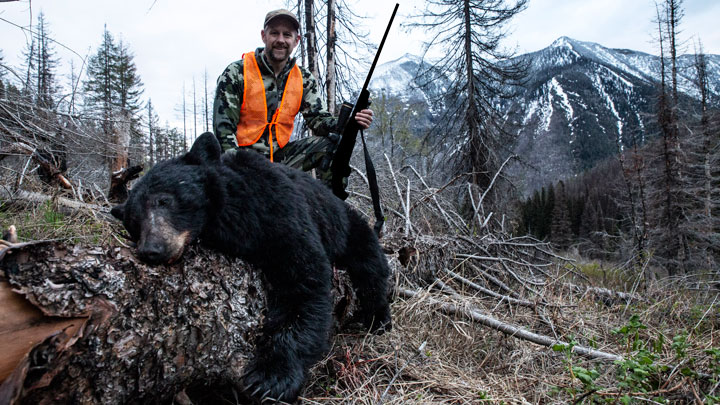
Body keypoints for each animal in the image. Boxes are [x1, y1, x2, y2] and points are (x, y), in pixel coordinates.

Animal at [111, 133, 394, 400]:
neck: (230, 215)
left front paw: (271, 376)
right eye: (133, 221)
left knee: (370, 264)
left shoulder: (277, 208)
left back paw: (379, 318)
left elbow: (304, 278)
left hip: (346, 225)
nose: (152, 250)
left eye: (164, 200)